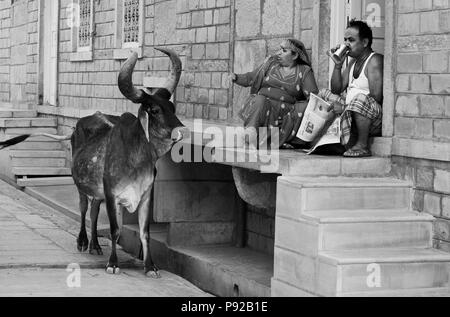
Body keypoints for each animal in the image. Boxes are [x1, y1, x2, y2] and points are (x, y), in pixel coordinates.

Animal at [0, 47, 186, 276]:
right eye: (155, 110)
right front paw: (113, 263)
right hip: (80, 185)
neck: (138, 157)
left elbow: (144, 233)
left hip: (97, 191)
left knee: (95, 212)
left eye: (172, 107)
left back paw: (96, 245)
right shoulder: (112, 195)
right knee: (83, 209)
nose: (182, 131)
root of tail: (77, 126)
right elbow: (115, 230)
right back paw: (83, 241)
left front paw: (150, 266)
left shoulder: (144, 196)